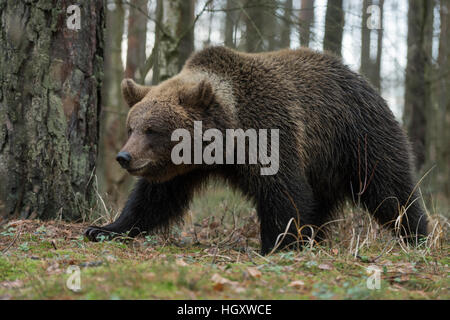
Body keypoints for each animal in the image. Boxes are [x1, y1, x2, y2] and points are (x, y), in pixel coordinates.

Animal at [87, 45, 428, 255]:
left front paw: (277, 244)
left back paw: (417, 235)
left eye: (152, 129)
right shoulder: (183, 168)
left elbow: (284, 193)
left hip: (357, 136)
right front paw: (103, 228)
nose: (124, 157)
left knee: (390, 190)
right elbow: (154, 198)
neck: (226, 141)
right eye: (132, 127)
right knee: (324, 201)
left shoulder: (270, 133)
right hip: (324, 164)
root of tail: (363, 79)